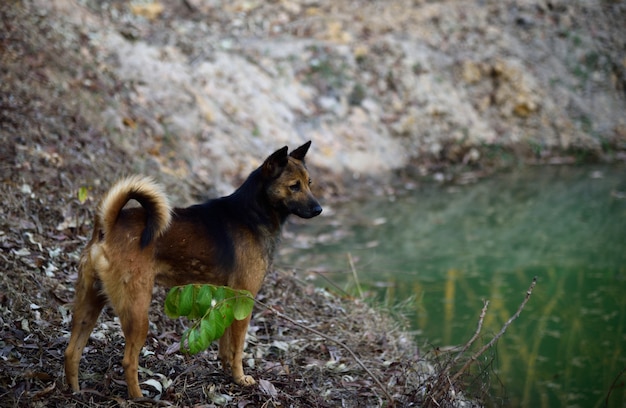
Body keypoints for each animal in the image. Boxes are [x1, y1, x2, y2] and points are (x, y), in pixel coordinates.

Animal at [64, 141, 322, 398]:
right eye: (294, 186)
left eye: (309, 183)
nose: (319, 209)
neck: (251, 215)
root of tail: (107, 227)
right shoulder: (244, 300)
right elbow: (238, 348)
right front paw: (240, 378)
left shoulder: (228, 299)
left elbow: (226, 345)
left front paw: (226, 371)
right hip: (137, 312)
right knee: (128, 361)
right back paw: (138, 398)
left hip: (89, 304)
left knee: (72, 351)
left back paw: (74, 392)